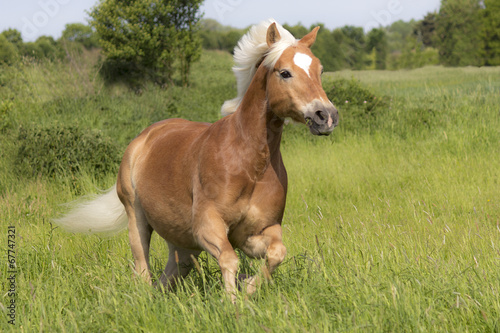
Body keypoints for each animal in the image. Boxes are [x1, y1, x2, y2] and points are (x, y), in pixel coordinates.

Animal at [55, 19, 340, 300]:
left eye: (320, 70)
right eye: (285, 73)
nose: (326, 116)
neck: (250, 164)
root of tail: (143, 139)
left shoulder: (258, 230)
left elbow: (276, 253)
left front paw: (247, 287)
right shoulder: (207, 226)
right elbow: (229, 260)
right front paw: (233, 301)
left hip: (181, 241)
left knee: (170, 274)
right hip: (136, 218)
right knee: (143, 271)